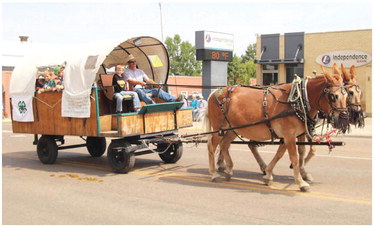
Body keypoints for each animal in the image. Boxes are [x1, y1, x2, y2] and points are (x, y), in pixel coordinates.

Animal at [205, 65, 348, 191]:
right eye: (334, 96)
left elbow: (280, 154)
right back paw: (214, 174)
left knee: (224, 145)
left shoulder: (287, 135)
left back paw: (229, 170)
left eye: (346, 95)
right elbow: (294, 158)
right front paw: (301, 182)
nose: (344, 118)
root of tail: (214, 92)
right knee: (211, 146)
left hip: (233, 128)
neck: (298, 100)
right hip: (219, 128)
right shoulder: (289, 135)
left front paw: (268, 174)